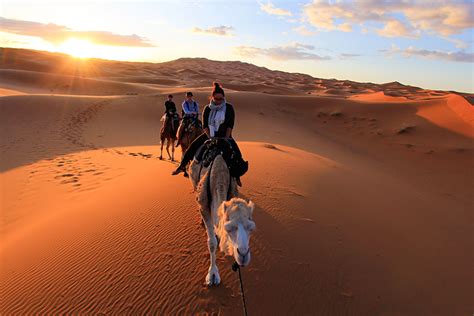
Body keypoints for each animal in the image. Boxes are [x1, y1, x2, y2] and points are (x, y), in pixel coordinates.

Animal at [189, 156, 256, 286]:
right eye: (228, 228)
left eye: (251, 228)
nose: (243, 255)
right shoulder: (204, 207)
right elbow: (212, 243)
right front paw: (212, 274)